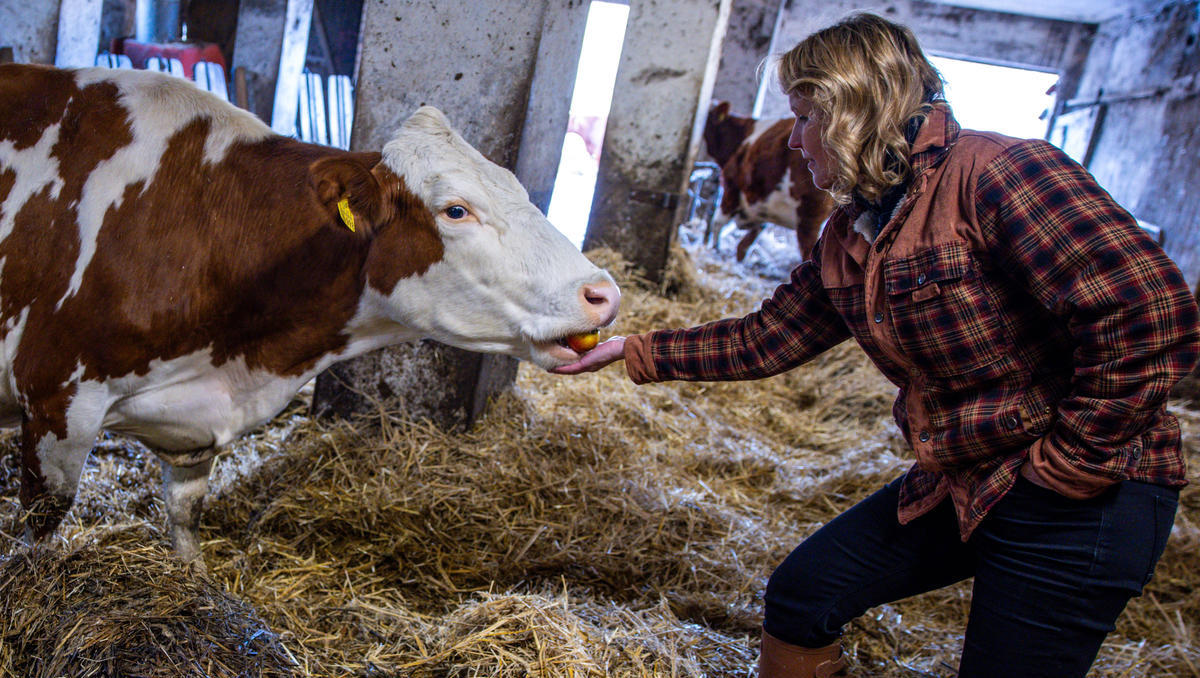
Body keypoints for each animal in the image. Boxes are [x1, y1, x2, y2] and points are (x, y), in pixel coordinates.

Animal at [700, 102, 835, 261]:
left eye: (706, 120)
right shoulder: (760, 207)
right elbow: (743, 246)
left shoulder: (731, 187)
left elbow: (717, 224)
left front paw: (714, 251)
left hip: (811, 215)